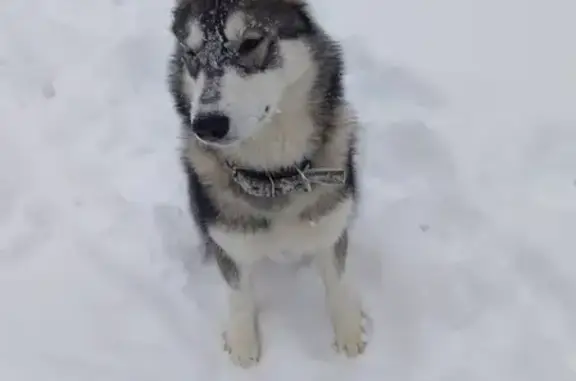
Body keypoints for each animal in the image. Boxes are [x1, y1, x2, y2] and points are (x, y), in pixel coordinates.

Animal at [169, 0, 366, 366]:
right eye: (191, 53)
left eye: (250, 42)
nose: (207, 125)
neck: (275, 177)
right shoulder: (230, 242)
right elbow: (238, 293)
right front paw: (243, 342)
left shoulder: (330, 227)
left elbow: (338, 281)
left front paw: (348, 330)